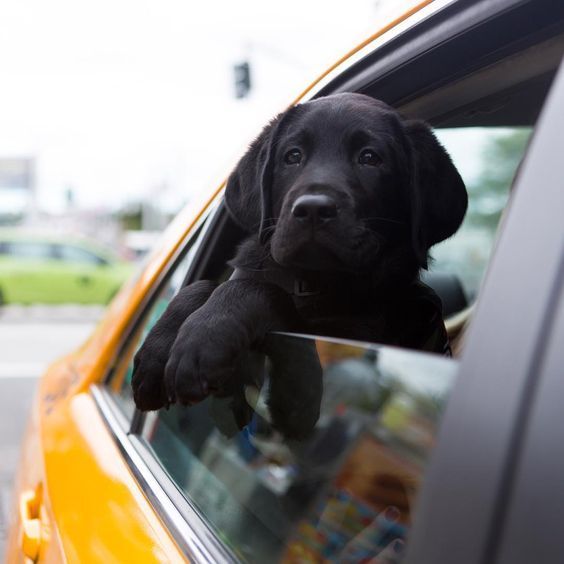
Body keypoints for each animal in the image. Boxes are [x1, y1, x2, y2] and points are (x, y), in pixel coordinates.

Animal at [132, 93, 468, 432]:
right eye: (293, 156)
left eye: (370, 157)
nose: (313, 209)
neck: (310, 281)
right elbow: (203, 285)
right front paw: (155, 355)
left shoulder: (354, 336)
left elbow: (261, 292)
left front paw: (202, 341)